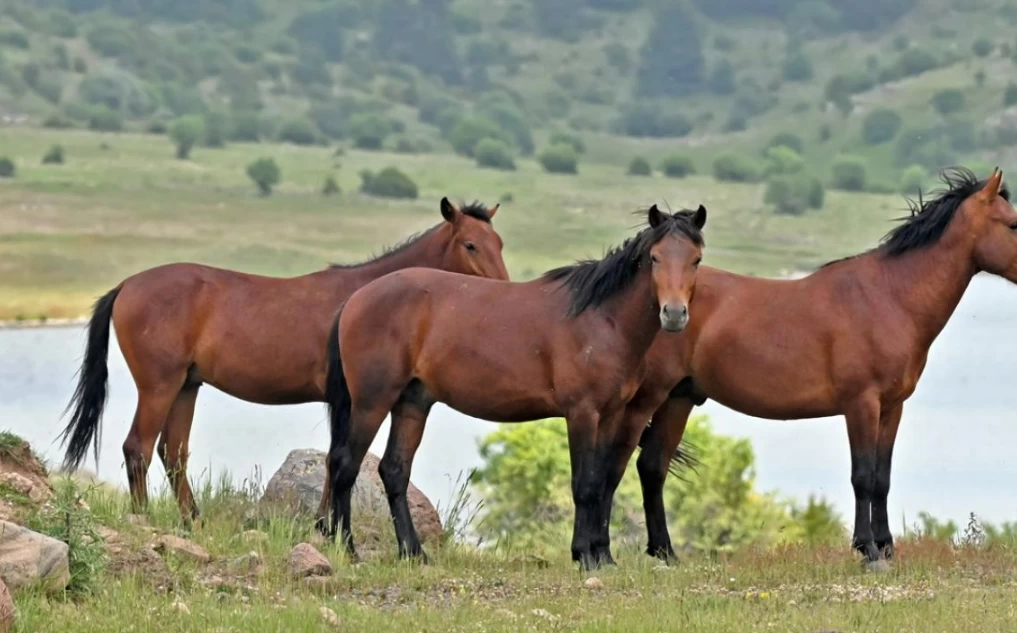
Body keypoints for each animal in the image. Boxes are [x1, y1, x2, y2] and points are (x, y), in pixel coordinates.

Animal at [55, 199, 508, 525]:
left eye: (499, 244)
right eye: (470, 244)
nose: (503, 291)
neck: (370, 297)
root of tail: (127, 286)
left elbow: (332, 458)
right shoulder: (346, 400)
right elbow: (336, 458)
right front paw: (326, 526)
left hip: (186, 386)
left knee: (173, 452)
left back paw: (192, 519)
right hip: (158, 386)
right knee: (139, 448)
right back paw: (144, 518)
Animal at [323, 204, 707, 569]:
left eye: (696, 260)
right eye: (655, 257)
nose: (674, 314)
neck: (603, 319)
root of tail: (355, 299)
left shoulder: (611, 415)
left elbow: (600, 483)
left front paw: (603, 556)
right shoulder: (582, 414)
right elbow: (584, 485)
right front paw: (584, 555)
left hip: (412, 404)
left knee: (393, 471)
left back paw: (413, 552)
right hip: (371, 403)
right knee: (345, 465)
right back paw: (348, 549)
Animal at [610, 165, 1016, 569]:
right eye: (1012, 224)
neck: (889, 297)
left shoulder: (892, 407)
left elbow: (882, 478)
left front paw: (886, 546)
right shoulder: (861, 404)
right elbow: (863, 476)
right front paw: (868, 550)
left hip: (678, 399)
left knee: (652, 466)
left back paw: (665, 552)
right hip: (649, 398)